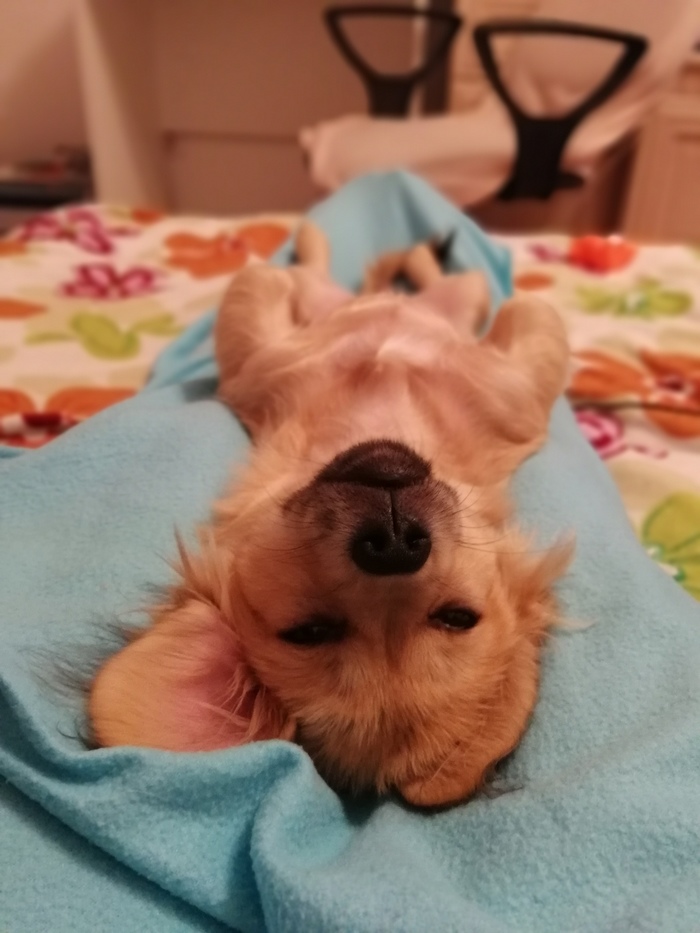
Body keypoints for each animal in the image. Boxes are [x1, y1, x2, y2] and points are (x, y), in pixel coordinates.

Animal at [89, 224, 571, 808]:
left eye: (457, 616)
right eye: (310, 631)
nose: (395, 543)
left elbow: (532, 309)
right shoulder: (263, 360)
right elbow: (261, 282)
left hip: (461, 295)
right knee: (339, 275)